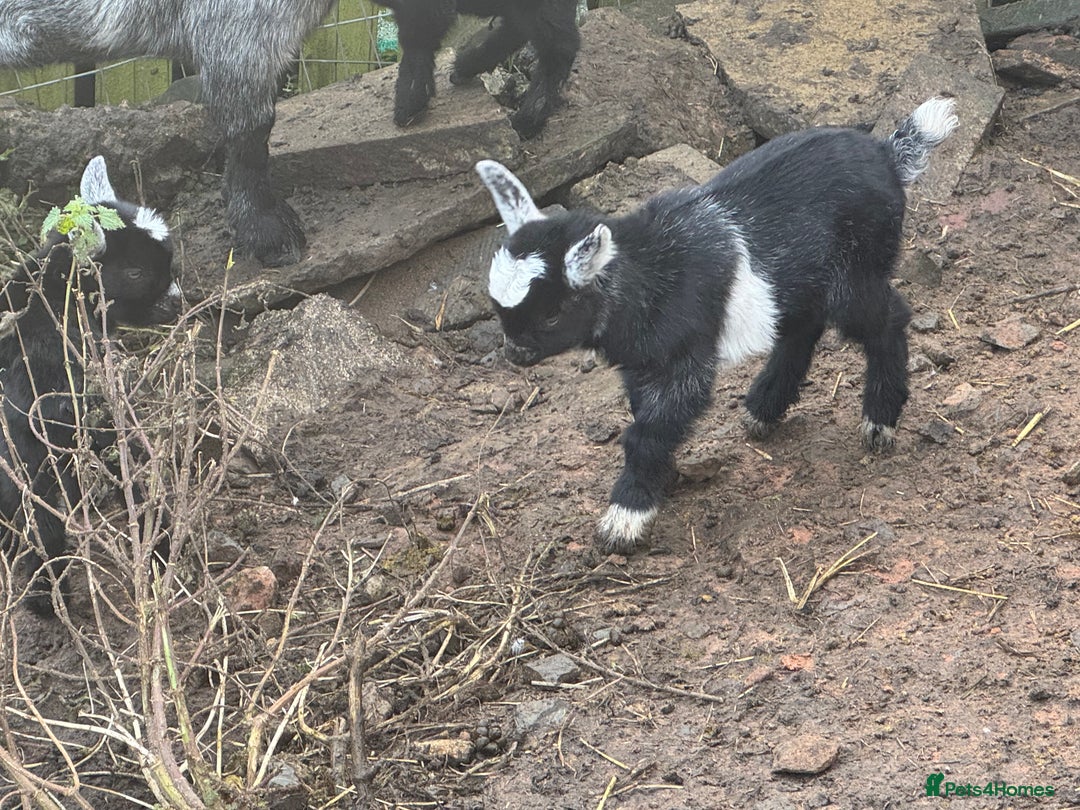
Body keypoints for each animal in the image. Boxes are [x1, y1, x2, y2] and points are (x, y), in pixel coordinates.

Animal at [379, 0, 580, 138]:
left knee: (558, 47)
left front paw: (411, 101)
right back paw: (466, 65)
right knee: (520, 28)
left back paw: (527, 119)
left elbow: (417, 43)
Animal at [476, 97, 959, 553]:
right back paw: (763, 408)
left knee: (888, 319)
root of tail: (887, 153)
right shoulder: (643, 365)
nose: (515, 352)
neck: (646, 272)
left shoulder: (684, 359)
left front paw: (625, 518)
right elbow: (644, 416)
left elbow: (649, 431)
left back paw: (879, 420)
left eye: (552, 313)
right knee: (802, 327)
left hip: (856, 270)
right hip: (801, 280)